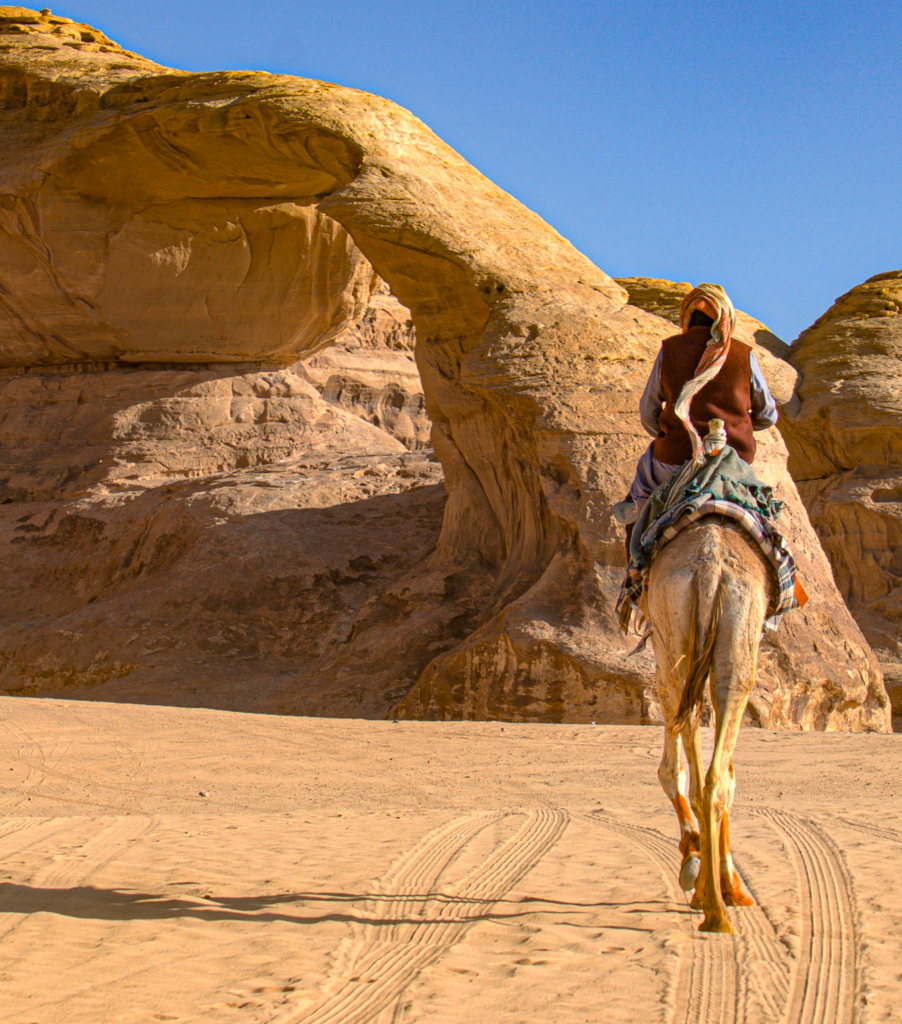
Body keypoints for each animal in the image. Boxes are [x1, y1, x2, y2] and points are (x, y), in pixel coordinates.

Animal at [642, 472, 776, 934]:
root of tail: (710, 566)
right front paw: (699, 859)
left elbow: (684, 769)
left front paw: (699, 859)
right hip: (723, 657)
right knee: (711, 775)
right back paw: (717, 900)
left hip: (688, 650)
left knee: (708, 779)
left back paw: (712, 902)